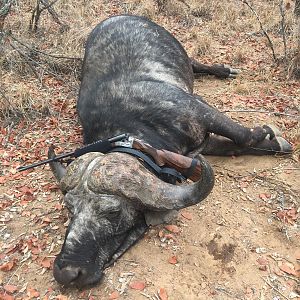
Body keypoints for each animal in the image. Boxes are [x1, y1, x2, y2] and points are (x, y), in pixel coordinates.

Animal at [48, 15, 292, 288]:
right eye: (70, 208)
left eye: (112, 211)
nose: (67, 271)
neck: (133, 124)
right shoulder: (197, 146)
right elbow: (237, 145)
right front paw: (274, 143)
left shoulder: (200, 111)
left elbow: (243, 134)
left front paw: (267, 133)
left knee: (195, 62)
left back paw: (224, 70)